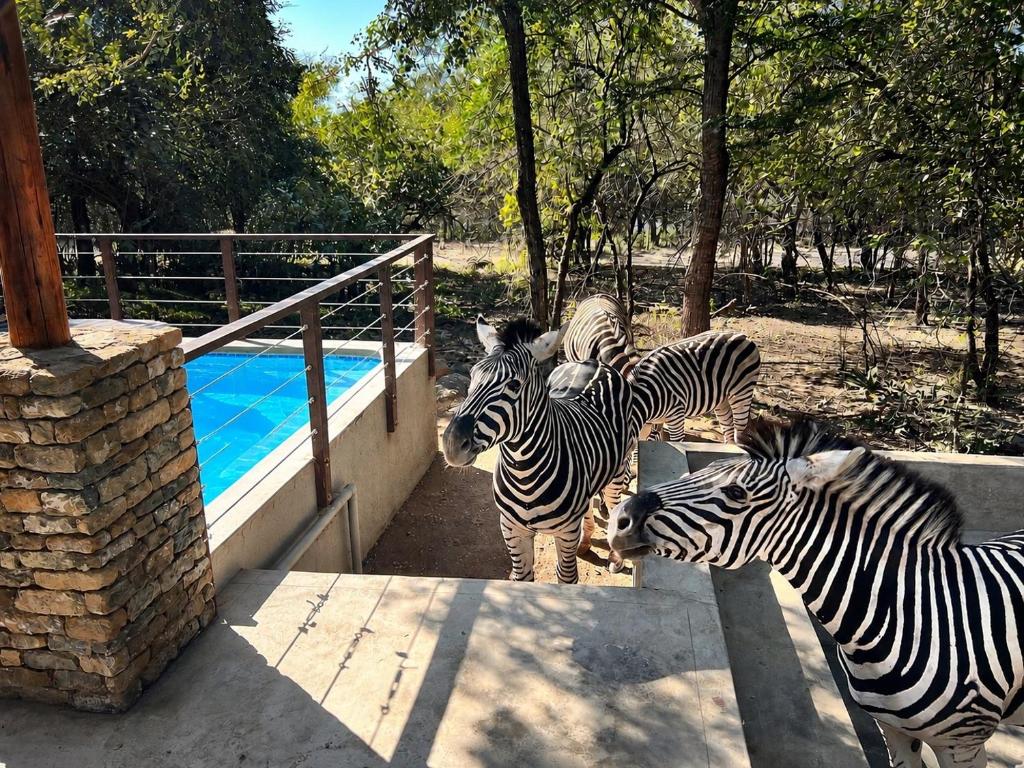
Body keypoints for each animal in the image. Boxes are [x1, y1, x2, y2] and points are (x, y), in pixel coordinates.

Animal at [442, 316, 633, 584]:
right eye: (471, 376)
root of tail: (593, 362)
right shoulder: (511, 528)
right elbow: (522, 577)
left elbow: (566, 577)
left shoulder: (565, 533)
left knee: (615, 502)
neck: (524, 474)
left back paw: (615, 559)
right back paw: (585, 542)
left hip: (618, 470)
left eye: (514, 385)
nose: (451, 445)